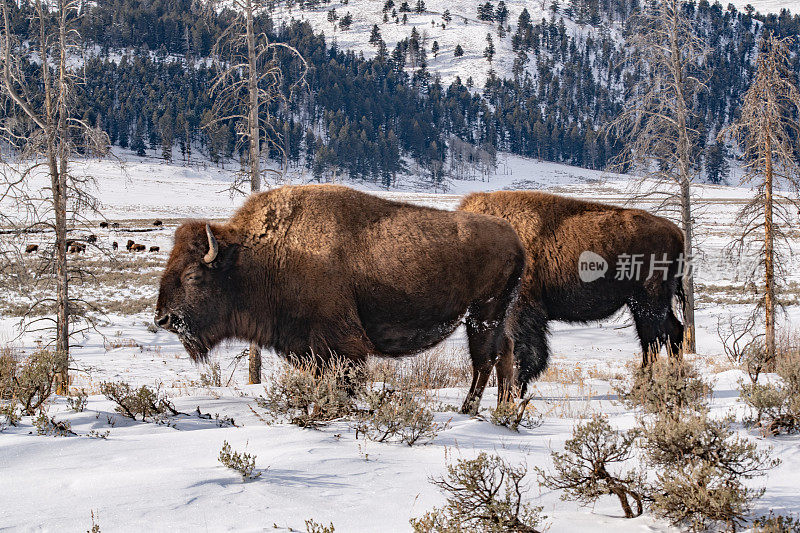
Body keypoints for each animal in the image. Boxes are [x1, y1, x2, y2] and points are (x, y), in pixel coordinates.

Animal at [155, 184, 524, 412]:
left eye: (192, 275)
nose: (162, 319)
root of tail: (514, 238)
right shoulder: (310, 347)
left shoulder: (341, 344)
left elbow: (343, 381)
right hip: (495, 315)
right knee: (504, 353)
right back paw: (504, 410)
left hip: (482, 314)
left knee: (484, 360)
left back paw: (468, 410)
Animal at [462, 189, 688, 392]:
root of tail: (676, 232)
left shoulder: (520, 311)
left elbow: (523, 352)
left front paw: (517, 388)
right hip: (656, 304)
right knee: (674, 332)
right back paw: (676, 384)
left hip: (646, 302)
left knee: (652, 342)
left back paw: (640, 388)